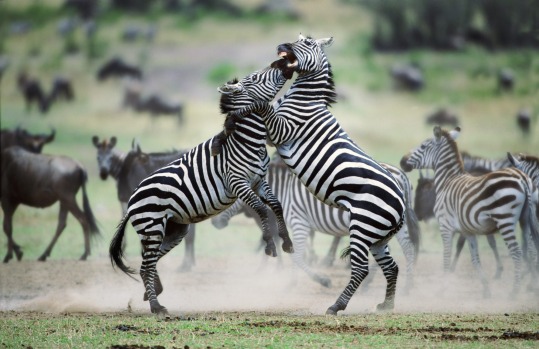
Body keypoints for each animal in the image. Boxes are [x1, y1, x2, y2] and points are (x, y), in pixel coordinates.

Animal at [109, 64, 296, 316]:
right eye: (257, 77)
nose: (281, 65)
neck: (249, 142)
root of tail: (131, 201)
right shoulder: (238, 182)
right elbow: (260, 208)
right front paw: (269, 243)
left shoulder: (259, 181)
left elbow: (275, 205)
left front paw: (286, 241)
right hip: (152, 227)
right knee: (147, 265)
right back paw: (157, 307)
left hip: (174, 229)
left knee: (146, 263)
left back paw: (153, 293)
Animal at [212, 156, 422, 292]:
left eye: (228, 195)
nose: (214, 222)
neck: (282, 189)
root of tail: (401, 174)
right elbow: (296, 254)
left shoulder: (299, 221)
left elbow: (296, 256)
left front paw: (312, 281)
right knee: (408, 248)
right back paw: (407, 286)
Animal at [224, 34, 404, 314]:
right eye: (297, 39)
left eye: (307, 42)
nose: (282, 47)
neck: (304, 100)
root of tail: (402, 204)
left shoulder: (282, 131)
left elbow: (264, 105)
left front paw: (241, 107)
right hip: (378, 237)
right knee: (391, 267)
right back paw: (386, 304)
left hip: (362, 225)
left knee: (361, 269)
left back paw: (336, 306)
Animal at [400, 125, 539, 296]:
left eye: (423, 146)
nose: (402, 161)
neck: (447, 181)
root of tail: (523, 179)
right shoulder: (467, 230)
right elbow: (475, 258)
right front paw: (486, 289)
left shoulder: (445, 226)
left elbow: (447, 256)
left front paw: (443, 287)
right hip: (525, 220)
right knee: (530, 250)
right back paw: (530, 284)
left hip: (505, 220)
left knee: (517, 253)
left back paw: (514, 292)